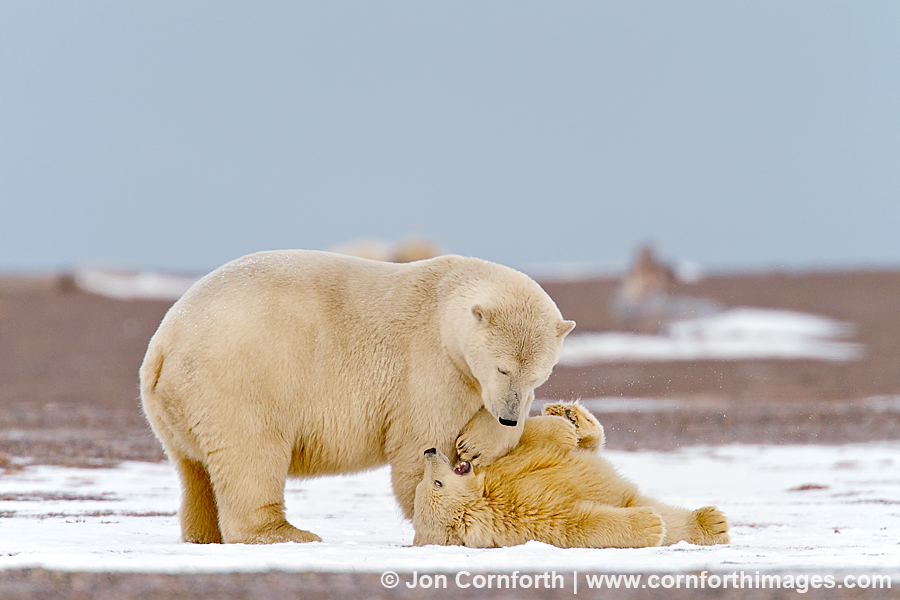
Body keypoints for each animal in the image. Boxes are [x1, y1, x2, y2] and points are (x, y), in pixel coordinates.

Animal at [143, 248, 572, 544]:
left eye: (539, 373)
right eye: (502, 368)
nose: (508, 414)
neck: (443, 297)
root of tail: (164, 344)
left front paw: (484, 440)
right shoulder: (429, 365)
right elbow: (422, 443)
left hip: (179, 404)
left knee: (194, 469)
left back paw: (202, 533)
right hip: (240, 379)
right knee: (251, 453)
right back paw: (287, 532)